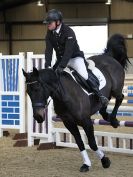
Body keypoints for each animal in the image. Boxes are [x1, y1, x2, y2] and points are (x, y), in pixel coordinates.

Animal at [22, 34, 130, 172]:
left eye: (37, 89)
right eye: (28, 92)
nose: (38, 117)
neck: (63, 94)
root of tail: (109, 56)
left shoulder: (86, 121)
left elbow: (92, 143)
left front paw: (105, 161)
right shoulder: (69, 123)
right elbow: (80, 143)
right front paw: (86, 164)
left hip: (116, 89)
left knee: (120, 98)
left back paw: (114, 120)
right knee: (103, 106)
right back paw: (108, 117)